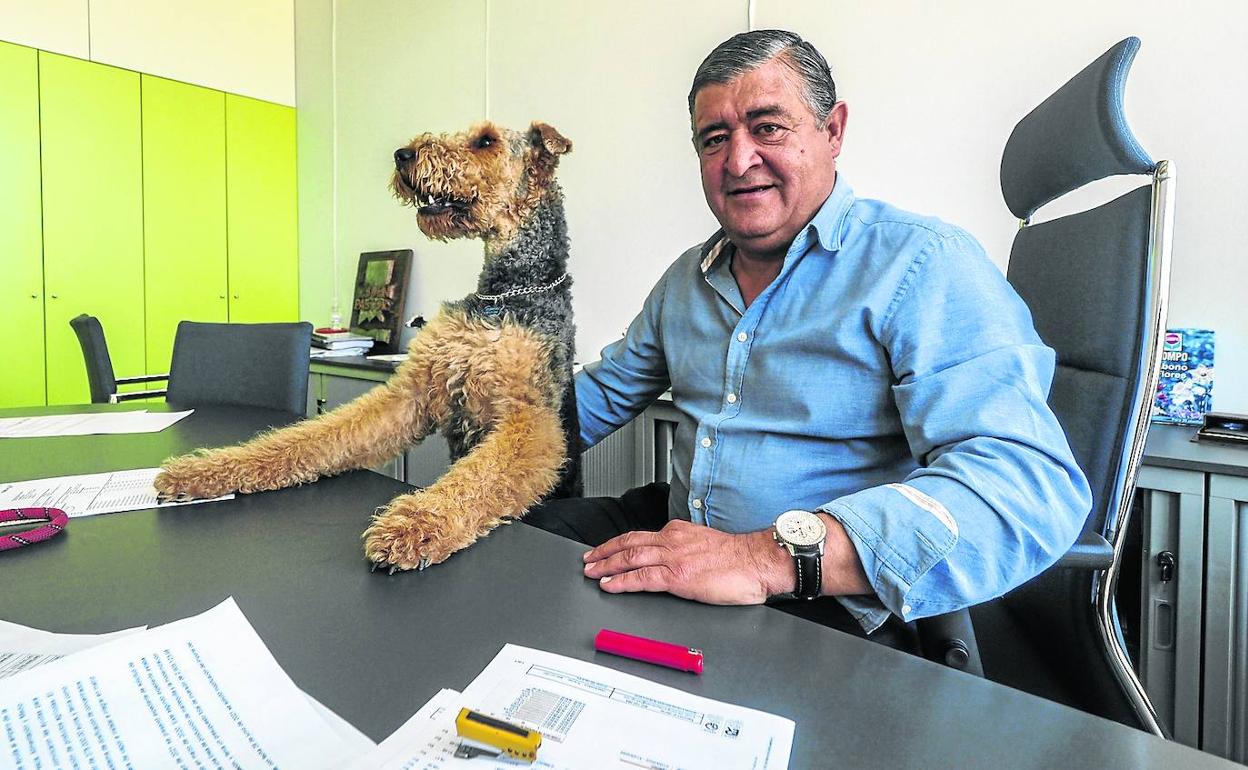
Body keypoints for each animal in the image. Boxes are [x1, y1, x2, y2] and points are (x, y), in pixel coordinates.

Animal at [154, 121, 579, 571]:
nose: (403, 155)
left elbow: (481, 476)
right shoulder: (410, 396)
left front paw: (413, 525)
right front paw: (204, 470)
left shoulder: (529, 418)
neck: (503, 294)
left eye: (486, 141)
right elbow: (314, 435)